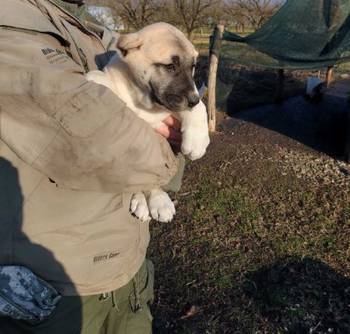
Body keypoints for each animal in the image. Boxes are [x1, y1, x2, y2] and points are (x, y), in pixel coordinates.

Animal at [86, 22, 209, 223]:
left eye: (192, 67)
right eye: (170, 66)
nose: (193, 100)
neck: (143, 101)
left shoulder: (170, 107)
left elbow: (200, 109)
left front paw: (197, 142)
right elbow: (106, 80)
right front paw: (96, 77)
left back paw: (157, 201)